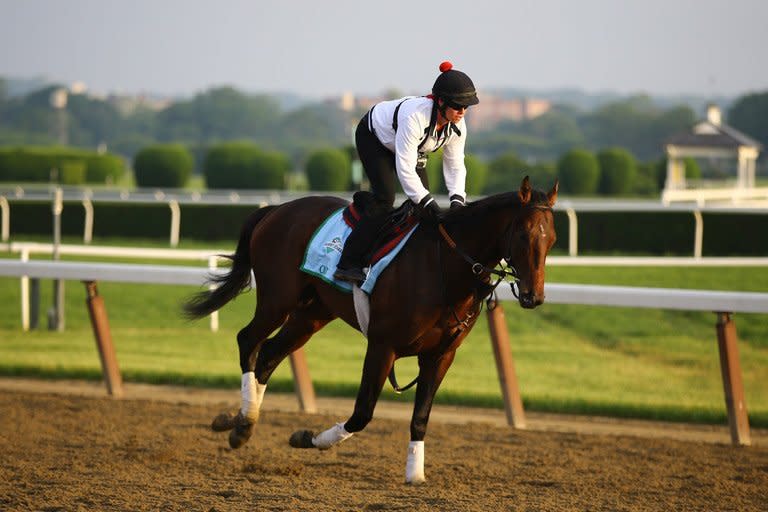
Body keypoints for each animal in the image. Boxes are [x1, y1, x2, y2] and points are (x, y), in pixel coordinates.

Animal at [186, 176, 560, 484]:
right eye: (523, 234)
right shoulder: (383, 345)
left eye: (552, 239)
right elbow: (362, 413)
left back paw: (239, 421)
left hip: (312, 314)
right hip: (278, 299)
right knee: (249, 340)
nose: (534, 296)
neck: (444, 267)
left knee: (267, 355)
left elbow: (421, 416)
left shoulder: (441, 355)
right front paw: (307, 438)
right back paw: (242, 424)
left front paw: (415, 474)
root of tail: (276, 210)